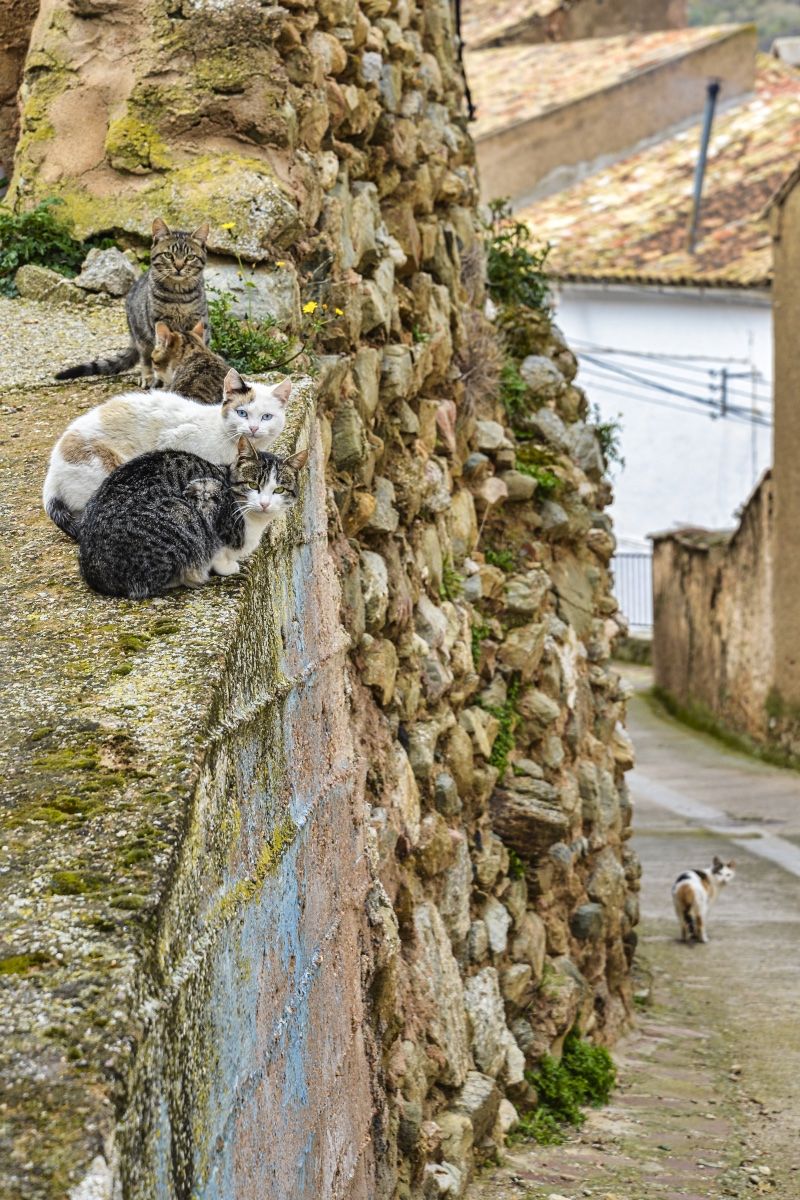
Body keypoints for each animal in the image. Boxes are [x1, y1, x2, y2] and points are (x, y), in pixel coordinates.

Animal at [55, 218, 210, 387]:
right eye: (168, 255)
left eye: (190, 257)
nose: (179, 266)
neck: (179, 295)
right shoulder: (159, 323)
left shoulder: (199, 321)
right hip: (141, 336)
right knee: (146, 358)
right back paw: (148, 377)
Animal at [78, 438, 309, 599]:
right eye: (253, 485)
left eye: (279, 490)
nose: (264, 504)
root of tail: (94, 573)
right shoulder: (206, 493)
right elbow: (217, 547)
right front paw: (226, 566)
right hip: (181, 512)